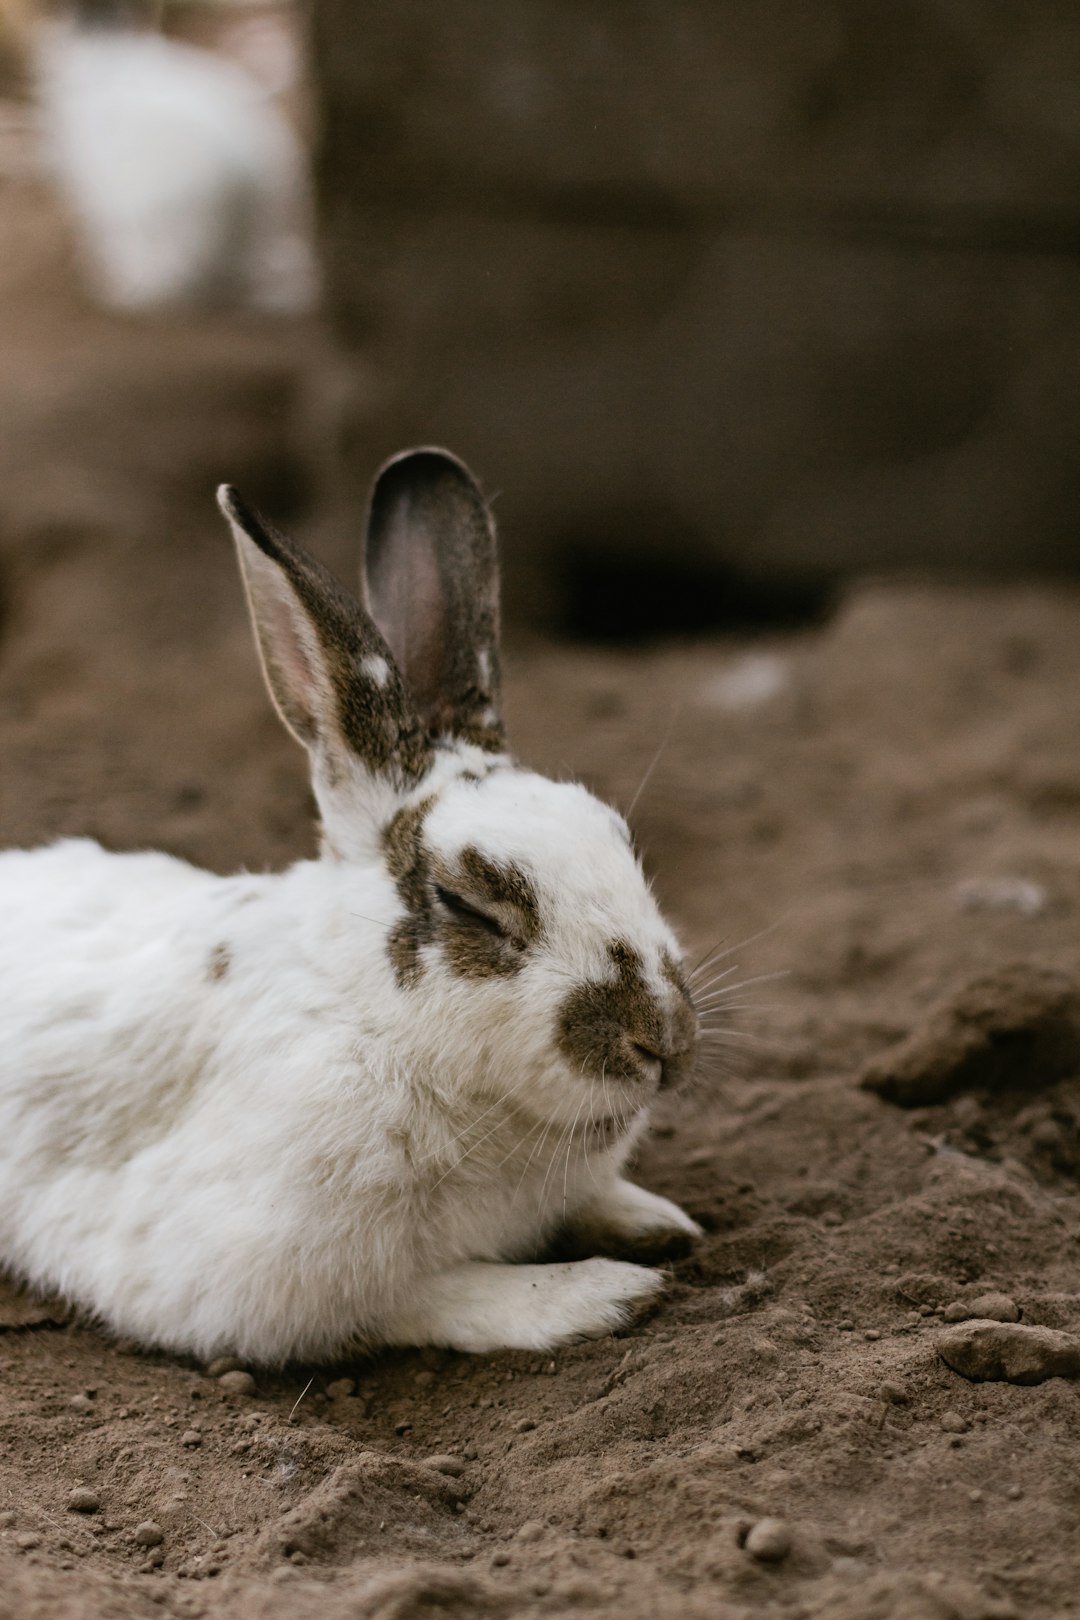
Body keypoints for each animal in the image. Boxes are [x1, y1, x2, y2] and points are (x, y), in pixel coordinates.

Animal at [0, 447, 702, 1367]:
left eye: (620, 838)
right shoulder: (256, 1277)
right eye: (468, 906)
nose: (664, 1042)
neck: (367, 1017)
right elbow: (429, 1294)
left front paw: (660, 1222)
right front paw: (602, 1293)